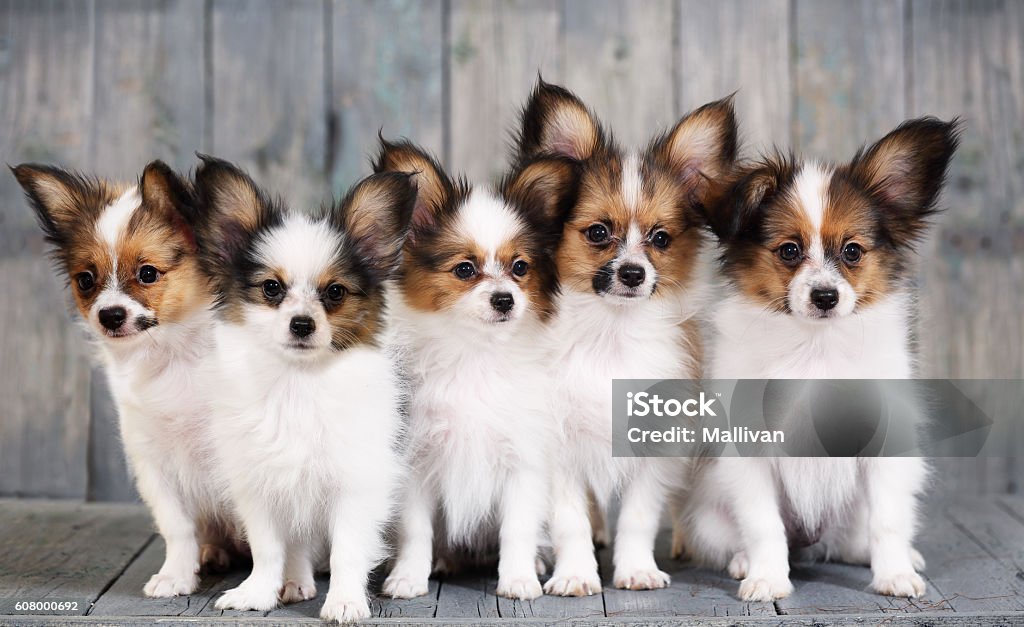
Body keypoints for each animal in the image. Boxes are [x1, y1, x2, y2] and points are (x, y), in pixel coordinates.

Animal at [12, 158, 238, 594]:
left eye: (148, 273)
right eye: (86, 280)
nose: (110, 315)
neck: (170, 354)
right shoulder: (153, 461)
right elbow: (177, 526)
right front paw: (176, 575)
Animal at [192, 156, 415, 622]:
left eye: (335, 292)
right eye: (271, 288)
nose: (302, 324)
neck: (298, 382)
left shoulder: (355, 483)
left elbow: (348, 550)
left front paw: (345, 602)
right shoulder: (259, 482)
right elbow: (267, 549)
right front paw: (257, 593)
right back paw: (295, 583)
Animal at [374, 139, 577, 598]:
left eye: (520, 267)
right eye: (465, 269)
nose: (504, 299)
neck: (476, 355)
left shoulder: (522, 462)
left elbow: (517, 529)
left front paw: (518, 578)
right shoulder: (417, 463)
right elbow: (415, 531)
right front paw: (407, 577)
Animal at [512, 80, 737, 594]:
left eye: (661, 238)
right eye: (598, 232)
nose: (633, 273)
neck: (610, 333)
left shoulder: (659, 446)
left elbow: (639, 515)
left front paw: (636, 570)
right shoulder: (559, 447)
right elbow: (570, 519)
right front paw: (575, 574)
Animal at [684, 117, 962, 602]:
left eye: (852, 251)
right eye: (789, 251)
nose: (825, 296)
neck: (816, 347)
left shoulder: (886, 445)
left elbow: (888, 520)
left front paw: (894, 576)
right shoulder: (750, 453)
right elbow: (763, 524)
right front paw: (767, 578)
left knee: (859, 539)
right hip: (709, 517)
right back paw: (744, 562)